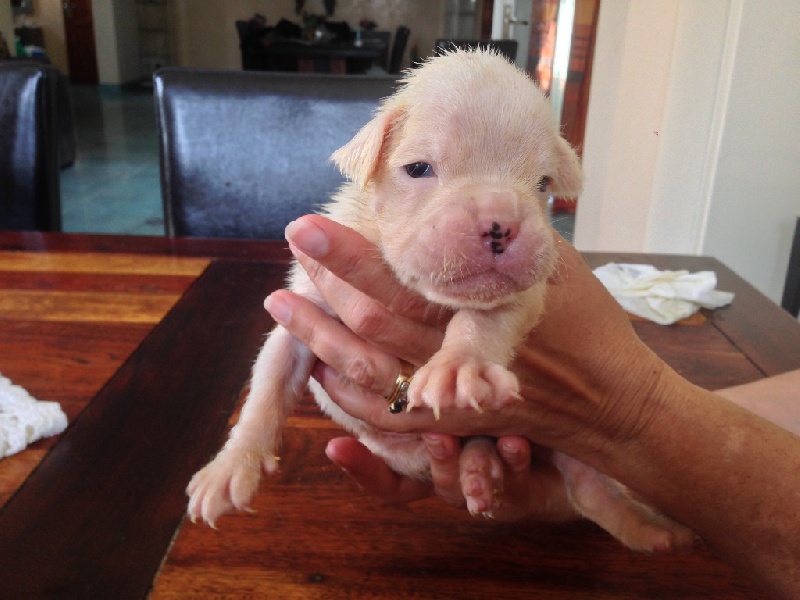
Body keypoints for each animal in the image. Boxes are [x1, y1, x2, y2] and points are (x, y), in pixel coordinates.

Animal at [187, 49, 695, 554]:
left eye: (543, 183)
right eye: (418, 169)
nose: (500, 222)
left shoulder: (524, 293)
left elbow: (485, 320)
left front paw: (459, 366)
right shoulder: (299, 314)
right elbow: (267, 387)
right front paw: (229, 468)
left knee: (588, 480)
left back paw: (652, 529)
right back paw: (476, 470)